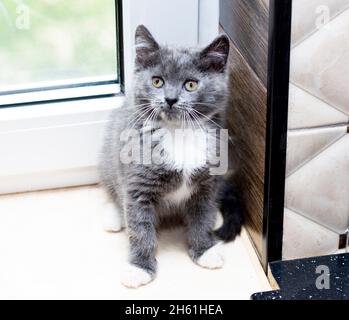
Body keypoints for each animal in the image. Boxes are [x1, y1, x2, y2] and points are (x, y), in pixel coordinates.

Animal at [98, 26, 242, 288]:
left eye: (191, 85)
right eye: (157, 81)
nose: (171, 99)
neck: (179, 132)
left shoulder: (208, 182)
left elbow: (203, 216)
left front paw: (204, 249)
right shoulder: (138, 185)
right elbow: (140, 228)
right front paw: (139, 267)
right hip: (109, 155)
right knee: (114, 190)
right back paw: (115, 216)